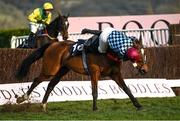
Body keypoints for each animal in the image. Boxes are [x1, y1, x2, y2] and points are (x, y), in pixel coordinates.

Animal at [15, 38, 148, 111]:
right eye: (138, 53)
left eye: (143, 52)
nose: (145, 69)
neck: (108, 53)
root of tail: (52, 44)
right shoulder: (94, 73)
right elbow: (95, 91)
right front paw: (95, 108)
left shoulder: (115, 74)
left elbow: (127, 89)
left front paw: (138, 105)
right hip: (50, 70)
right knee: (37, 80)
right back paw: (22, 98)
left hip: (62, 70)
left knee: (51, 84)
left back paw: (43, 105)